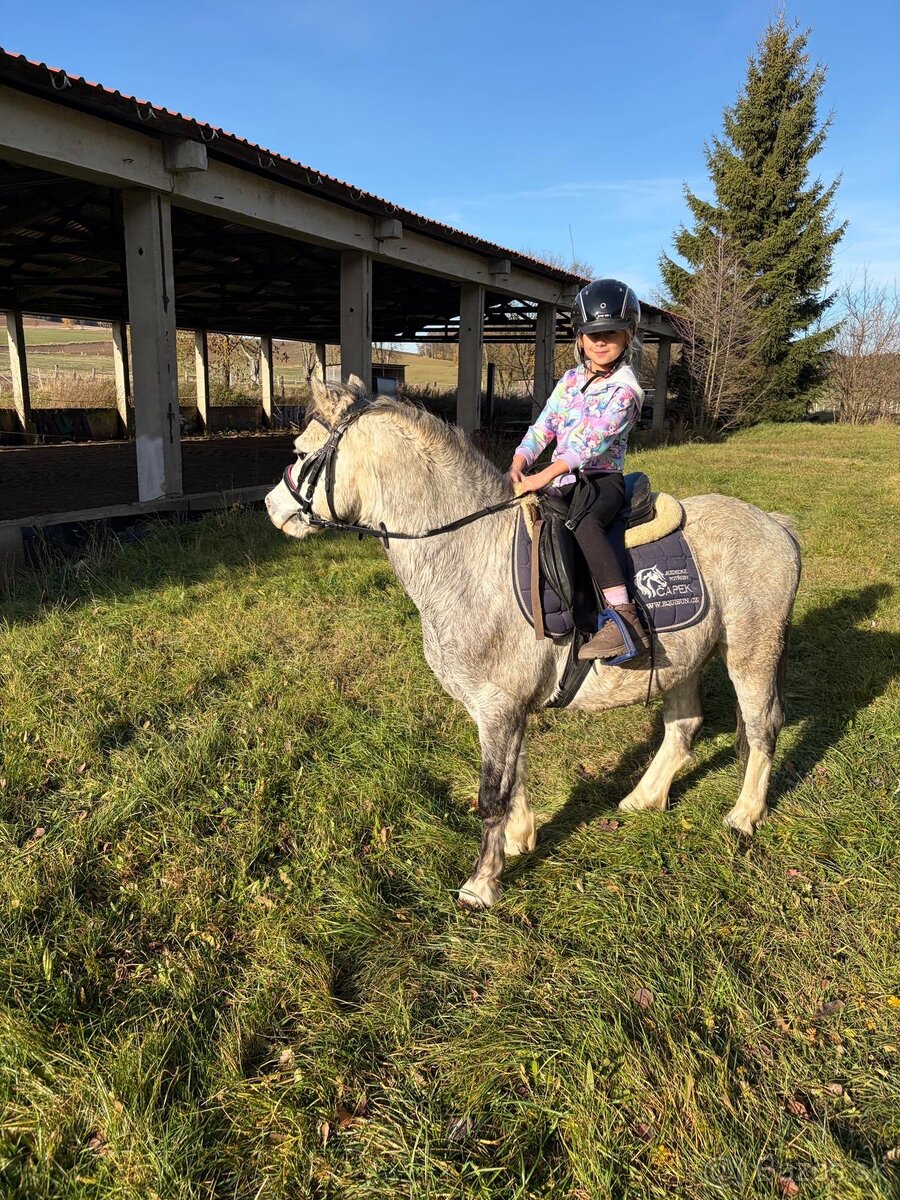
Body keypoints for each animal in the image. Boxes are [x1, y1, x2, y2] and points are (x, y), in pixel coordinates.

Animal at [265, 378, 802, 909]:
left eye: (300, 452)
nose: (273, 507)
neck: (470, 556)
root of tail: (776, 524)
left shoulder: (498, 705)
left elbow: (491, 794)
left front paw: (481, 885)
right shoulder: (504, 708)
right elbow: (515, 775)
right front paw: (518, 840)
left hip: (751, 653)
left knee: (762, 726)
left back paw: (745, 815)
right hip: (683, 661)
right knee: (684, 726)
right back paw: (643, 798)